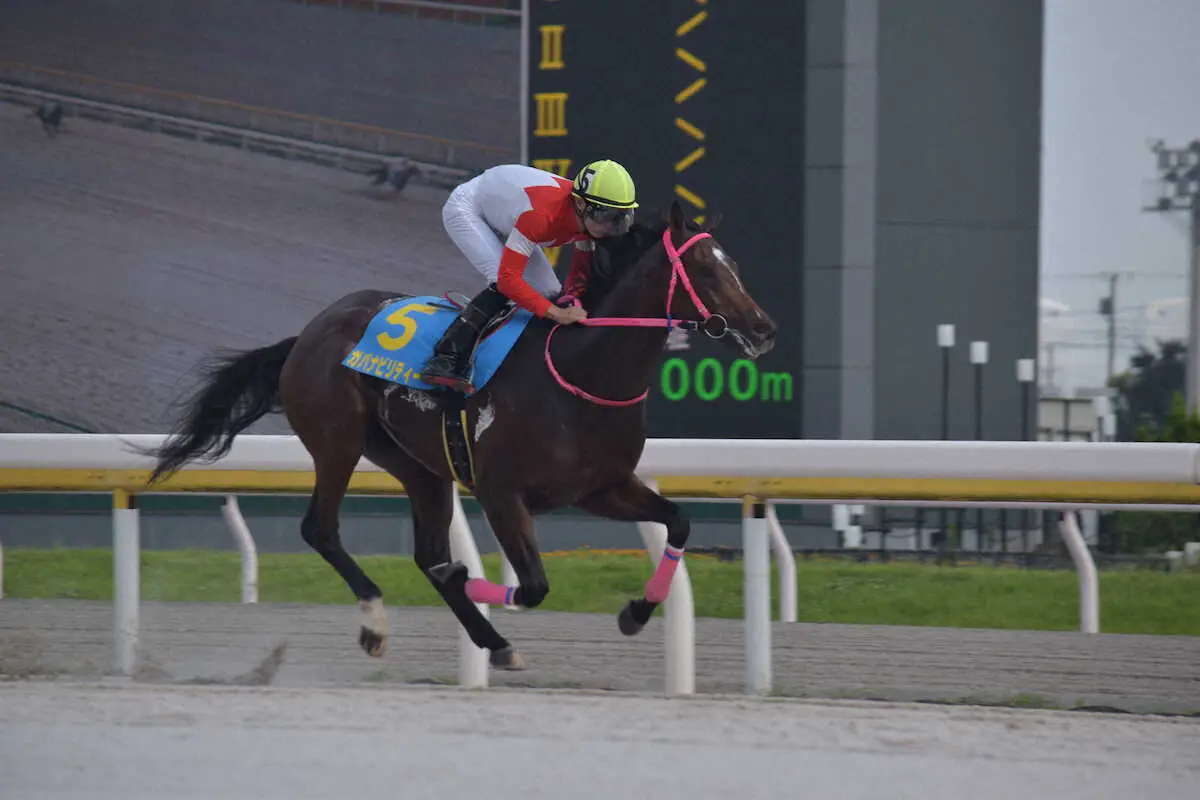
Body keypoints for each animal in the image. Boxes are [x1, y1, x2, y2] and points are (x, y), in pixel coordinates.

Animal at [142, 199, 777, 671]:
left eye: (733, 264)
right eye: (706, 270)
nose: (763, 329)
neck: (581, 370)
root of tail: (310, 331)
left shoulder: (601, 487)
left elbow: (680, 522)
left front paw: (636, 613)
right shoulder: (502, 493)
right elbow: (533, 585)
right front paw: (470, 582)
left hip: (418, 465)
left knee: (425, 552)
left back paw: (492, 641)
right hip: (337, 441)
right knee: (321, 530)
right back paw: (378, 622)